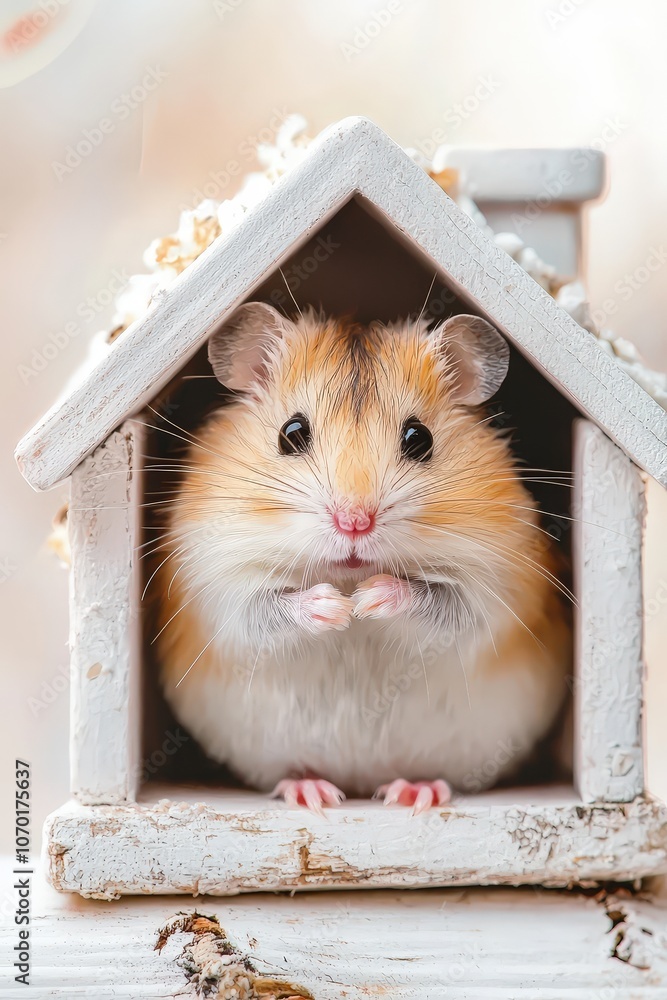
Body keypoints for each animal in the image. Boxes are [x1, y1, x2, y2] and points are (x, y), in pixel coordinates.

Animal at [155, 302, 571, 812]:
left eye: (419, 438)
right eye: (291, 433)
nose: (354, 522)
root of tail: (357, 781)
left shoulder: (493, 588)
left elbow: (442, 603)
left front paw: (369, 600)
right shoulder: (217, 584)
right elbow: (264, 608)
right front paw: (336, 607)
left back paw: (414, 793)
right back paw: (313, 793)